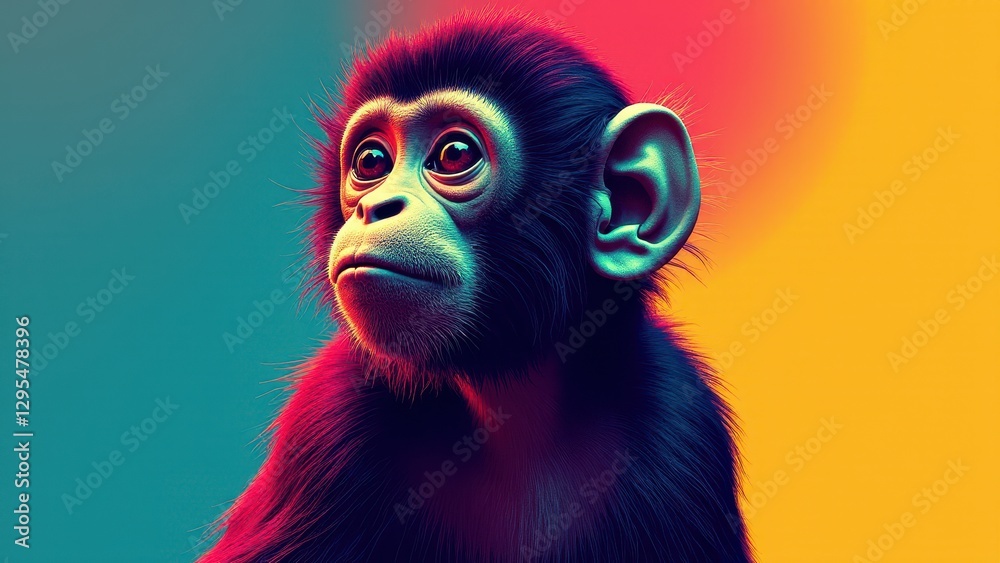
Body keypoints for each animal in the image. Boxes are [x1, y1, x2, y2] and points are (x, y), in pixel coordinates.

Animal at [201, 10, 751, 563]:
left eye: (454, 154)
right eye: (371, 162)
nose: (374, 206)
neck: (516, 408)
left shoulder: (680, 422)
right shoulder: (328, 416)